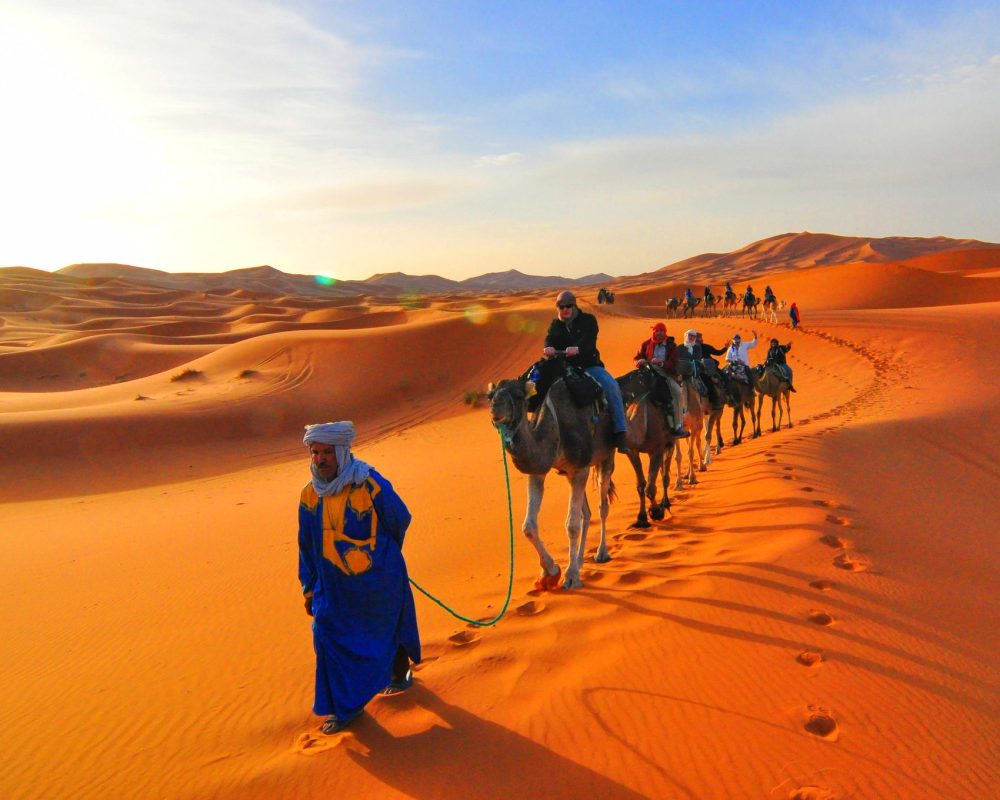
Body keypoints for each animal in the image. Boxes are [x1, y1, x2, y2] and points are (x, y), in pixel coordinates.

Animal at [486, 368, 612, 588]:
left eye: (518, 396)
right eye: (489, 396)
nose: (495, 409)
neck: (555, 430)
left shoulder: (580, 468)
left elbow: (572, 525)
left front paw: (570, 576)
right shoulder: (539, 472)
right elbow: (528, 526)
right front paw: (549, 572)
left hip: (606, 455)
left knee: (602, 505)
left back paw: (601, 553)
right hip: (572, 473)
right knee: (586, 513)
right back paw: (580, 560)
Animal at [616, 370, 680, 532]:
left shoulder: (659, 447)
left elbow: (650, 487)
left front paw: (656, 512)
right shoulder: (632, 451)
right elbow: (641, 485)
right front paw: (641, 519)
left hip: (670, 441)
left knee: (665, 475)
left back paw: (665, 502)